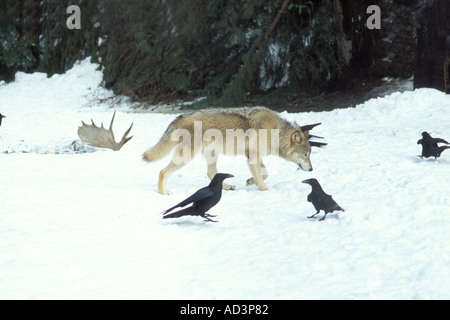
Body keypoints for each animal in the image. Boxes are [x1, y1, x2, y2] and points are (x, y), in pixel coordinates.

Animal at [144, 106, 316, 194]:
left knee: (211, 173)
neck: (276, 132)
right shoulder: (253, 156)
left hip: (212, 154)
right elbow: (262, 178)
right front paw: (264, 190)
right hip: (186, 156)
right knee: (162, 172)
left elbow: (265, 173)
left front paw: (250, 181)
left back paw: (226, 187)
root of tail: (179, 117)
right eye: (305, 155)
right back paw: (163, 192)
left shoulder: (253, 156)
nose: (311, 169)